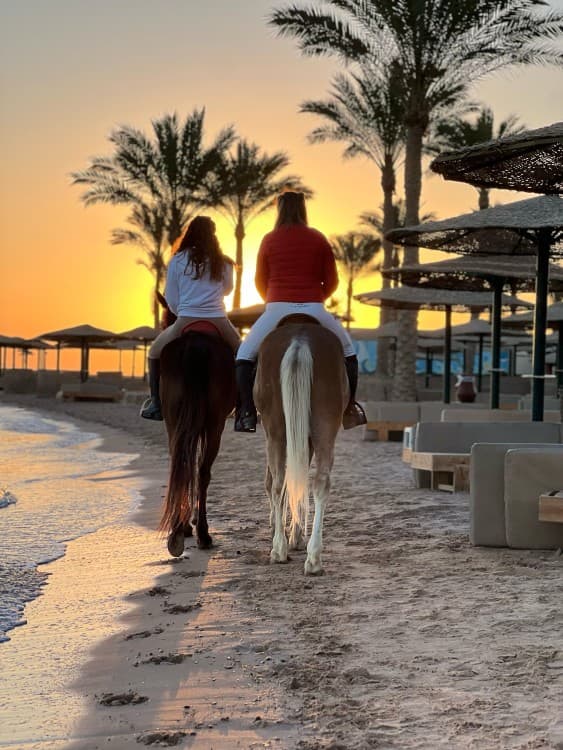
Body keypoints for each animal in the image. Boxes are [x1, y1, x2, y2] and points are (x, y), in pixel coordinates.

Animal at [156, 293, 236, 556]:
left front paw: (184, 525)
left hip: (176, 419)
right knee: (201, 471)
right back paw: (201, 532)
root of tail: (195, 345)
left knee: (184, 464)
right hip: (213, 424)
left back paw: (180, 532)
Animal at [254, 315, 349, 575]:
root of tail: (300, 339)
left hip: (275, 430)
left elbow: (280, 483)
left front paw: (289, 535)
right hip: (324, 426)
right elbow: (300, 481)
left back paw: (279, 549)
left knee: (277, 484)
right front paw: (295, 535)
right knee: (319, 483)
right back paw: (313, 558)